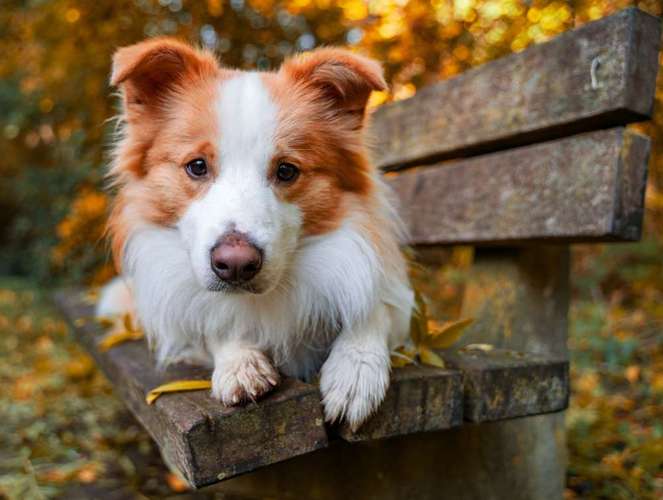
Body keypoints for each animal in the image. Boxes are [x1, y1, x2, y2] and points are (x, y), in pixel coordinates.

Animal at [96, 39, 412, 430]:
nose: (234, 265)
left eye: (287, 170)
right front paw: (239, 361)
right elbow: (214, 321)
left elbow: (375, 308)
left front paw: (355, 369)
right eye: (196, 166)